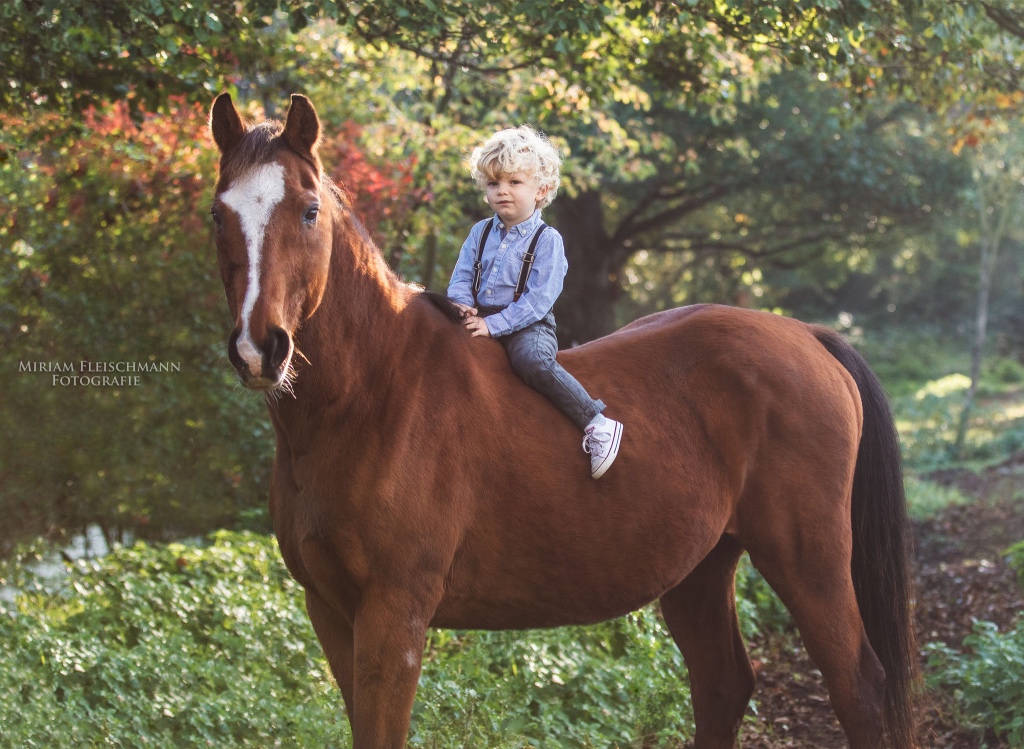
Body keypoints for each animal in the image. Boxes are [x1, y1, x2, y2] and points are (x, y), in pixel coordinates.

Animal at [203, 92, 917, 749]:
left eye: (308, 210)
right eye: (218, 212)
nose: (260, 348)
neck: (372, 397)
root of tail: (807, 336)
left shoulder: (393, 612)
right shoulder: (329, 610)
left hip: (810, 562)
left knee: (858, 686)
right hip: (702, 569)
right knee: (723, 684)